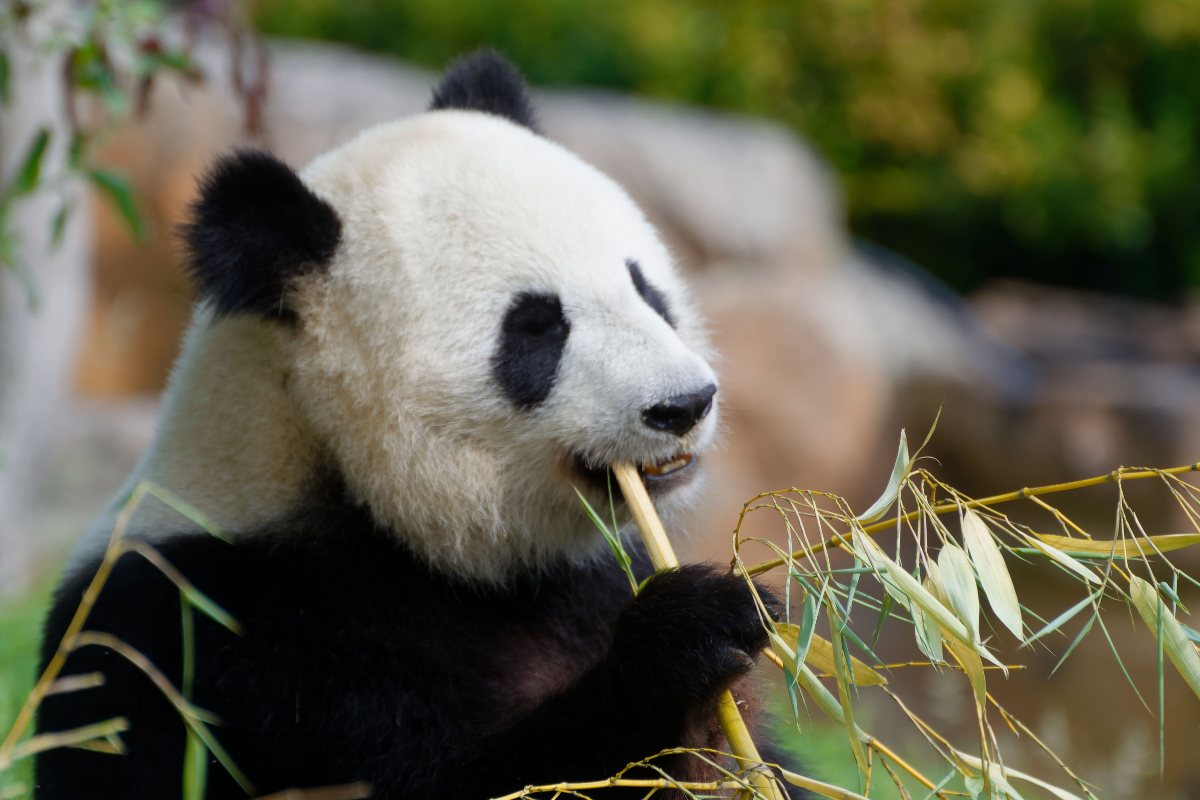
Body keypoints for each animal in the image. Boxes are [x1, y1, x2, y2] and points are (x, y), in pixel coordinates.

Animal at [32, 51, 792, 800]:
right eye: (536, 329)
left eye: (646, 288)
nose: (683, 405)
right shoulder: (237, 635)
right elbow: (456, 779)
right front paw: (693, 637)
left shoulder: (587, 578)